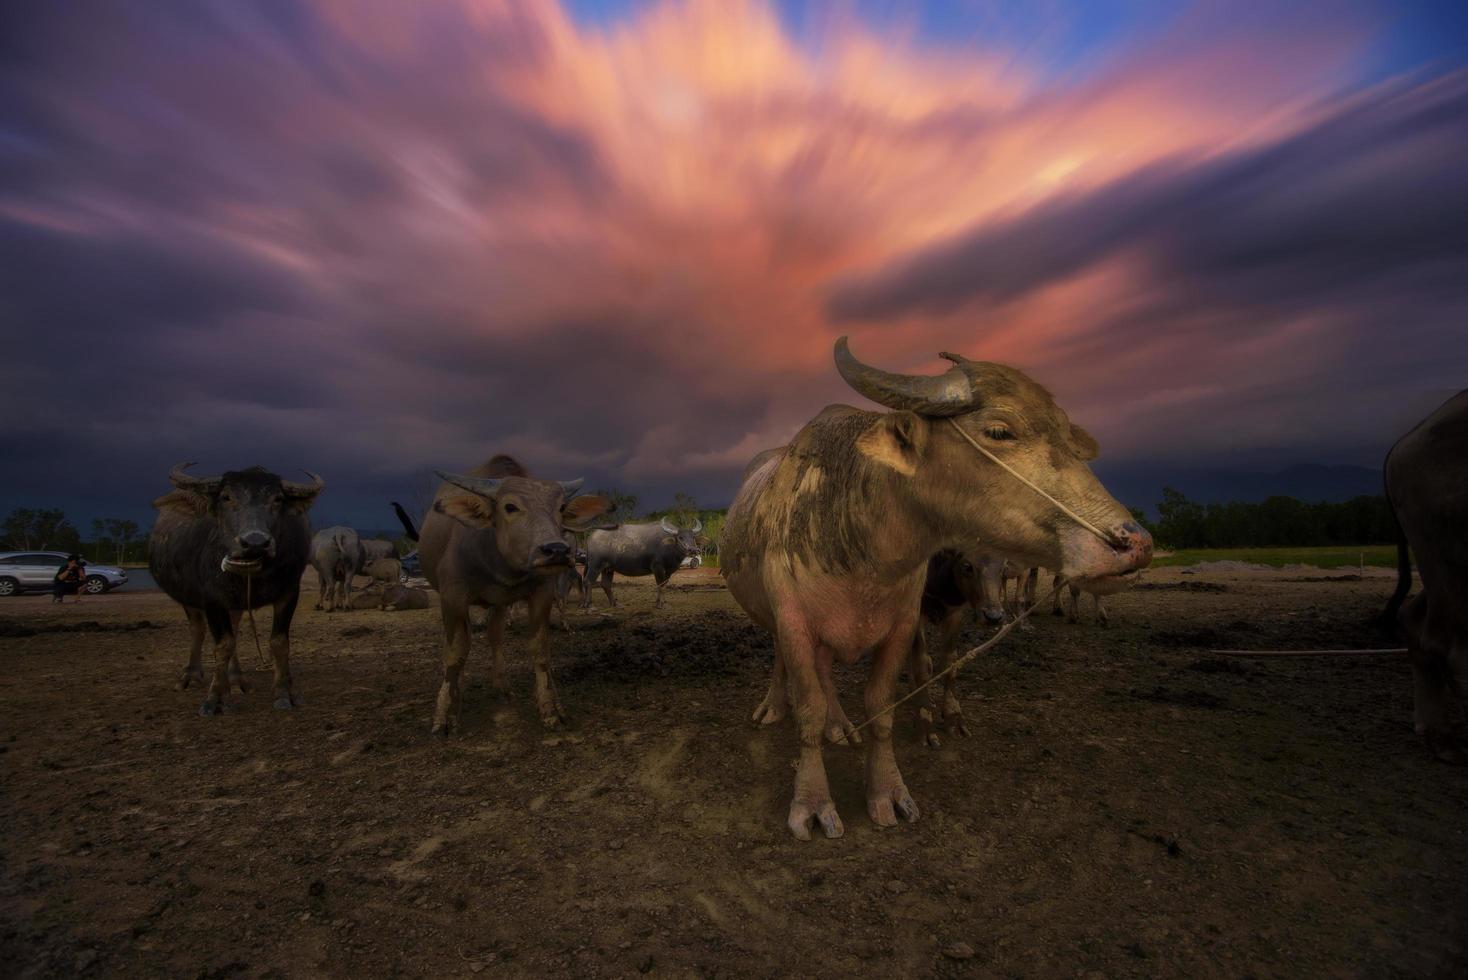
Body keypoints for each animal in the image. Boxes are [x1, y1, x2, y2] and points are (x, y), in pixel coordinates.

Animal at [147, 463, 322, 715]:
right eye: (226, 497)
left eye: (277, 499)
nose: (255, 542)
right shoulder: (212, 599)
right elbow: (223, 645)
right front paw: (217, 699)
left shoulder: (289, 593)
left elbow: (279, 643)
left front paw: (284, 693)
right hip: (188, 598)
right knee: (197, 629)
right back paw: (191, 676)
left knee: (235, 626)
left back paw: (236, 678)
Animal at [716, 338, 1150, 845]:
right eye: (999, 430)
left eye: (1066, 434)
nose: (1134, 543)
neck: (861, 543)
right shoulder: (795, 624)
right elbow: (808, 711)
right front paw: (813, 803)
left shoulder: (903, 625)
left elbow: (882, 706)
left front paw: (887, 793)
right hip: (774, 621)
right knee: (784, 664)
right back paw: (773, 707)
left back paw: (841, 726)